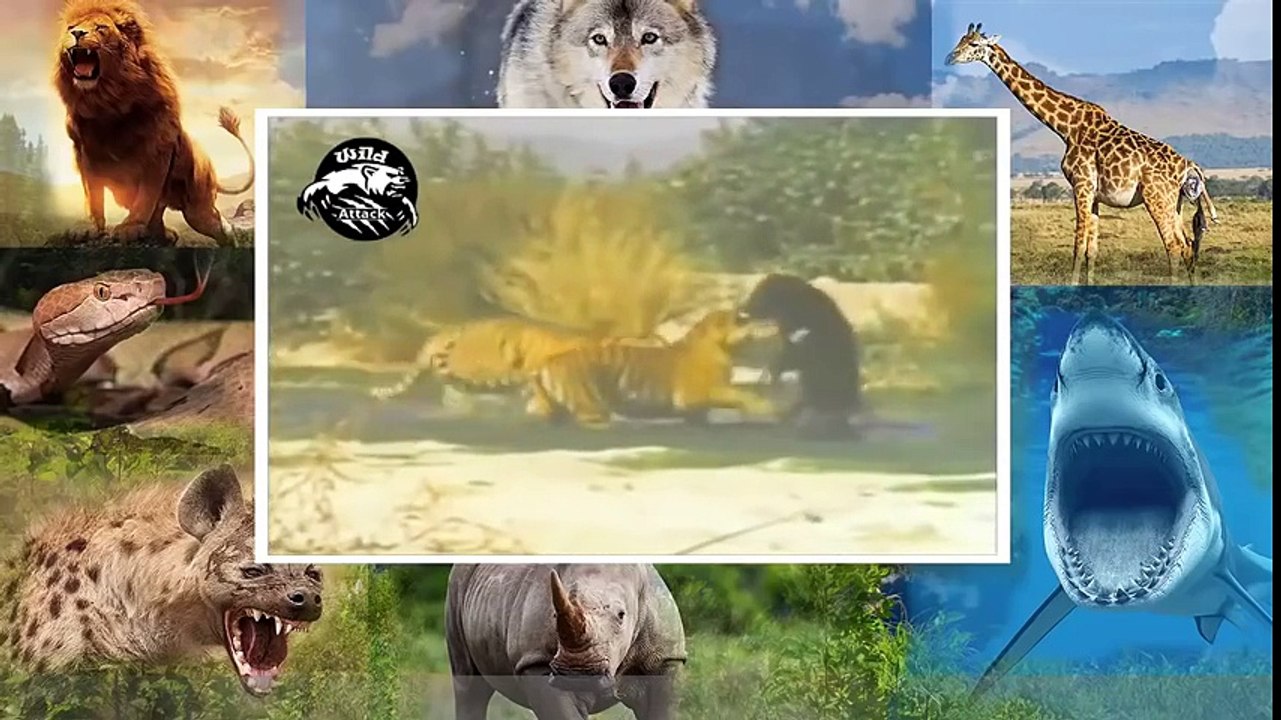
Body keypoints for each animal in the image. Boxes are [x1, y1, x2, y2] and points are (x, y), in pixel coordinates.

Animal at [527, 308, 779, 428]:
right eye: (743, 320)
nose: (770, 322)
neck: (725, 348)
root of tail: (545, 363)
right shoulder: (697, 394)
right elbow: (740, 394)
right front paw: (767, 409)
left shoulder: (696, 408)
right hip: (591, 407)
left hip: (555, 409)